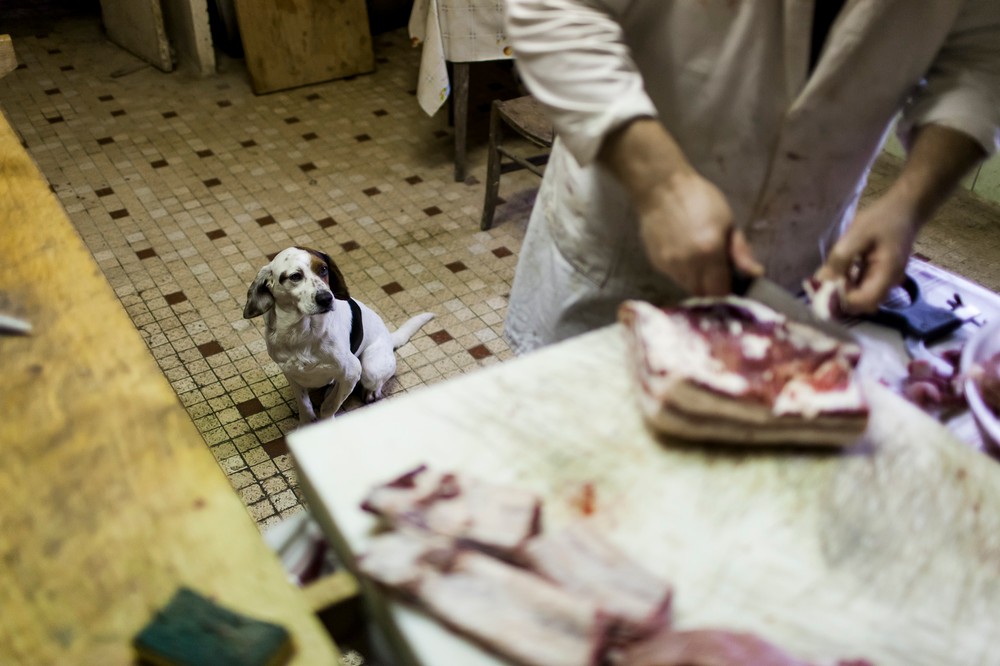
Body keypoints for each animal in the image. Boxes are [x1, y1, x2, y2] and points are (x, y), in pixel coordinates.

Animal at [243, 246, 434, 422]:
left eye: (323, 269)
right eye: (295, 276)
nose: (326, 298)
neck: (302, 332)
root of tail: (389, 336)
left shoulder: (352, 371)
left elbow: (329, 407)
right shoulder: (291, 374)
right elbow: (305, 406)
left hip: (370, 370)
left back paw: (370, 392)